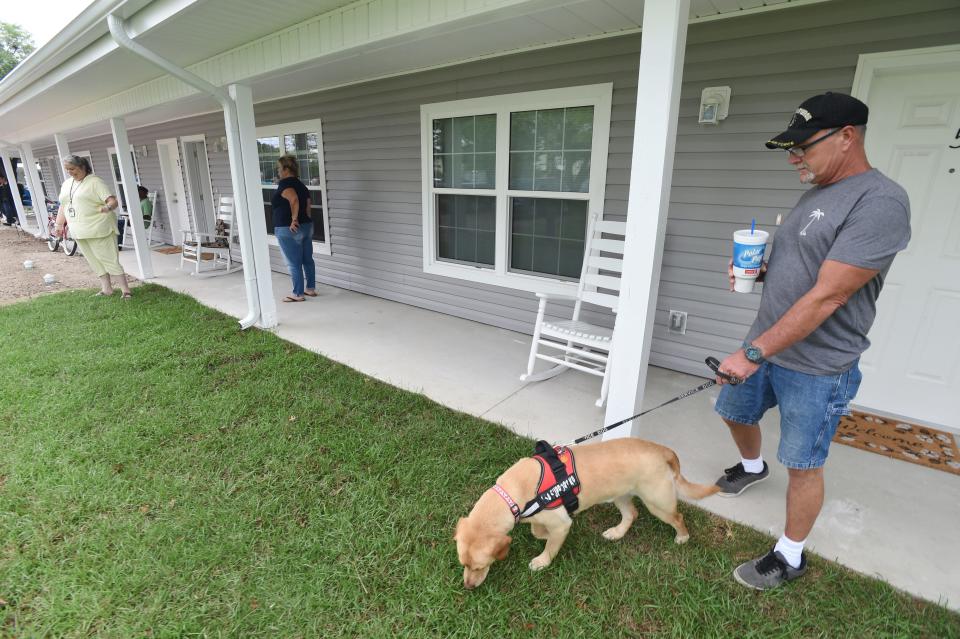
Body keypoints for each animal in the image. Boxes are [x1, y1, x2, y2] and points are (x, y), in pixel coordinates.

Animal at [458, 440, 720, 592]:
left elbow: (550, 546)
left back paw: (682, 537)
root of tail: (664, 450)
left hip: (658, 502)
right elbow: (536, 529)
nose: (468, 587)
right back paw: (616, 533)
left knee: (678, 517)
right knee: (632, 513)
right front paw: (542, 535)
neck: (511, 495)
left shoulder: (561, 522)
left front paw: (542, 560)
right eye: (464, 564)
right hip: (620, 495)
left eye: (480, 566)